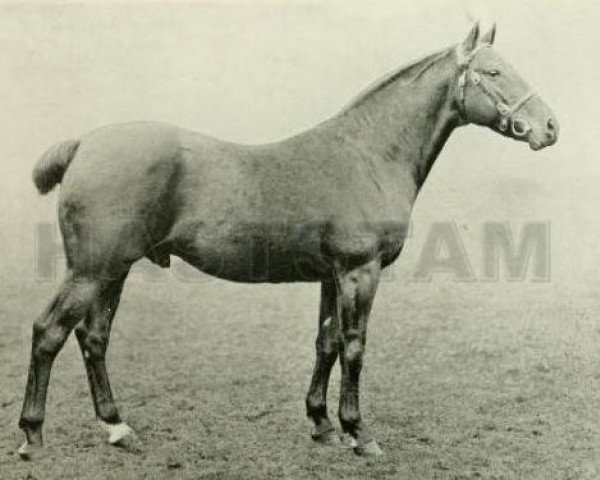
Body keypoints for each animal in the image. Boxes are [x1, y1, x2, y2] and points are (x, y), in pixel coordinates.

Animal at [17, 21, 556, 458]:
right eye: (493, 71)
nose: (549, 127)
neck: (367, 155)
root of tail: (85, 143)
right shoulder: (360, 272)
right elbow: (354, 347)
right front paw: (359, 433)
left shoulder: (331, 277)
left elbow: (327, 342)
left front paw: (321, 424)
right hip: (93, 270)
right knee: (49, 332)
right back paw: (31, 435)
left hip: (115, 271)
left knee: (93, 338)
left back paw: (117, 428)